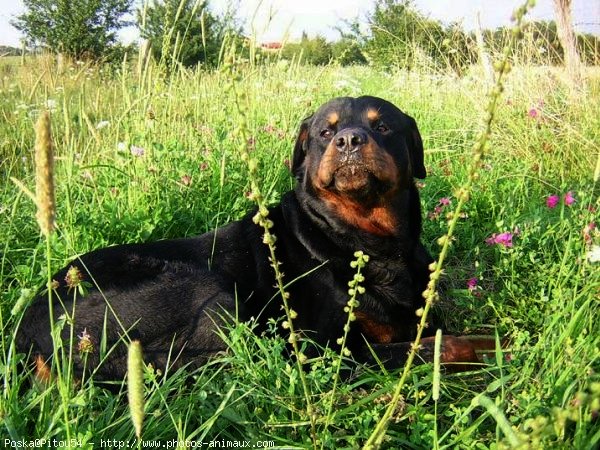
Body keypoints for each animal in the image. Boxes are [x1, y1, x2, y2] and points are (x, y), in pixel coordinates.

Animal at [16, 96, 488, 380]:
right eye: (324, 131)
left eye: (384, 127)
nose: (349, 139)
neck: (364, 240)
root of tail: (24, 337)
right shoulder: (338, 349)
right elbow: (446, 345)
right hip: (212, 295)